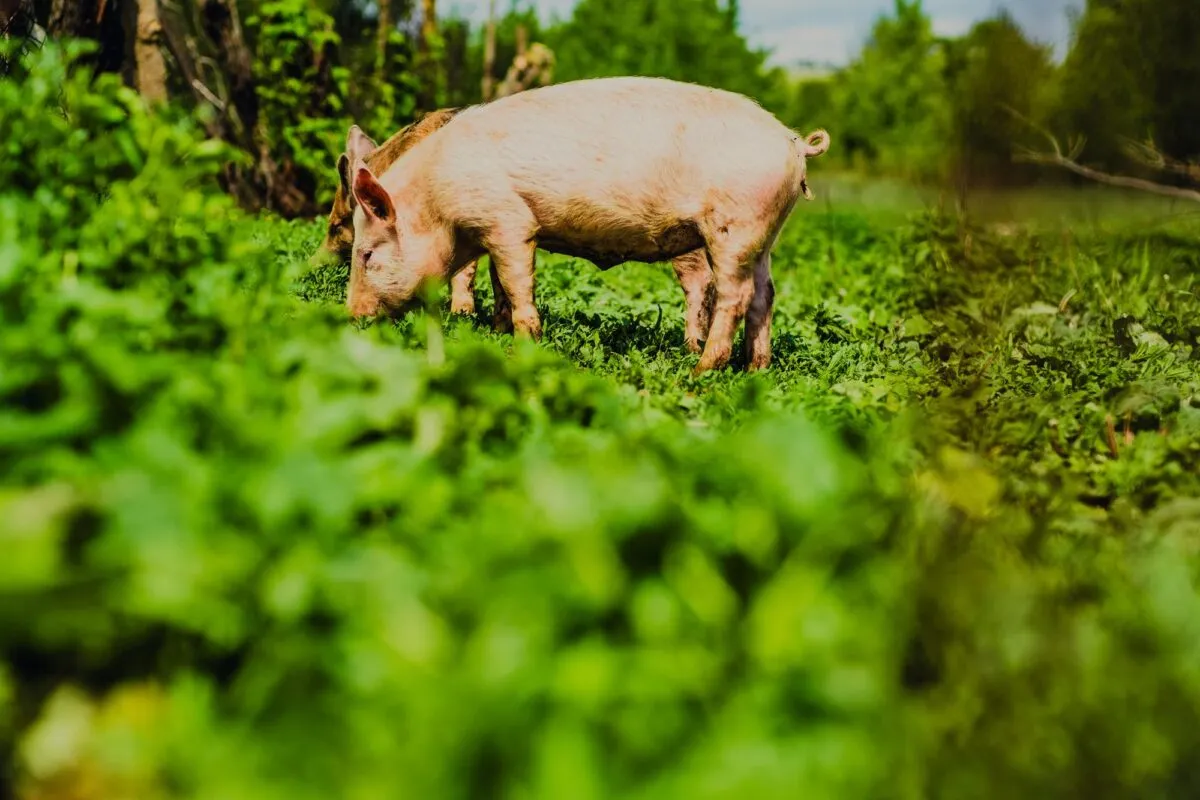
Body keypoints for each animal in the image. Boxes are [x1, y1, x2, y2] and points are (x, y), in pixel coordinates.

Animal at [345, 76, 830, 373]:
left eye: (366, 254)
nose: (350, 316)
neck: (439, 206)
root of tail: (794, 143)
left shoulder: (507, 220)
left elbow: (516, 281)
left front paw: (524, 343)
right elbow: (500, 283)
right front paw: (496, 331)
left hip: (733, 227)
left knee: (736, 294)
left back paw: (701, 369)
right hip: (763, 236)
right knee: (765, 294)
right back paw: (755, 369)